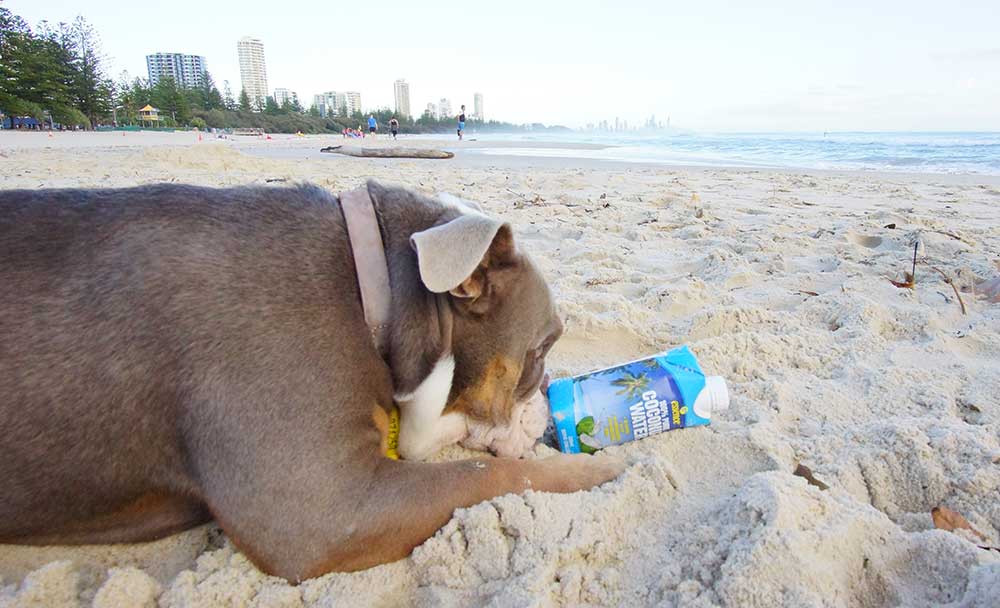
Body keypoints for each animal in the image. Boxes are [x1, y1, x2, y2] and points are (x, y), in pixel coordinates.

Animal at [0, 183, 624, 580]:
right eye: (541, 351)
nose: (550, 400)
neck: (377, 296)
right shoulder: (323, 511)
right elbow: (486, 475)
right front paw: (594, 470)